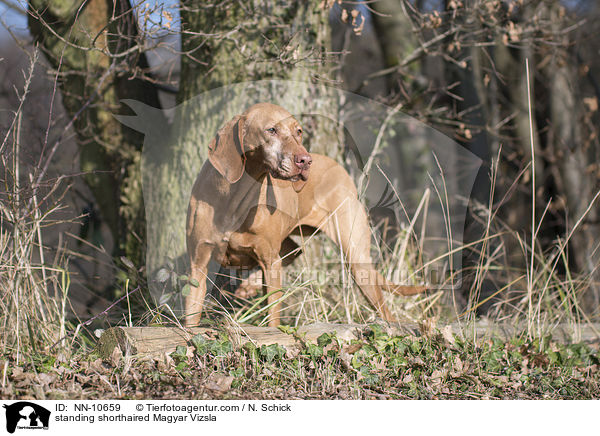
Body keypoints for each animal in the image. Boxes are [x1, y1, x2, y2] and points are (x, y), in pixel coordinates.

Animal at [185, 103, 424, 328]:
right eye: (271, 130)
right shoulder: (198, 265)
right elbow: (191, 318)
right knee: (294, 251)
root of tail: (339, 168)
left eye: (298, 131)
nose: (305, 160)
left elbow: (273, 318)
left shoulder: (270, 262)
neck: (234, 199)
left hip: (357, 259)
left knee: (384, 310)